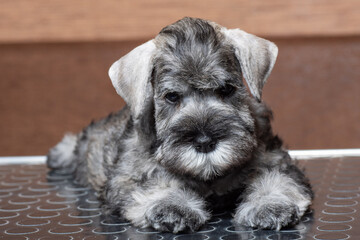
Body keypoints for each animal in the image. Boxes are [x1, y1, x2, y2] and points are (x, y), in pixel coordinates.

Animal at [47, 16, 312, 232]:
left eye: (227, 89)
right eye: (172, 96)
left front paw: (272, 203)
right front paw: (172, 205)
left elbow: (277, 176)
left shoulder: (274, 157)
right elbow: (153, 182)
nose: (205, 142)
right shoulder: (126, 178)